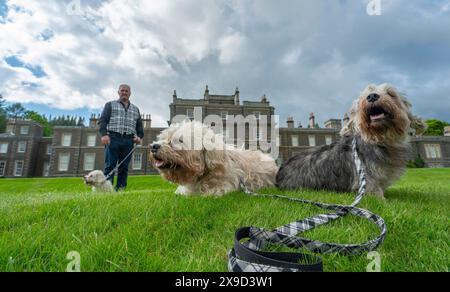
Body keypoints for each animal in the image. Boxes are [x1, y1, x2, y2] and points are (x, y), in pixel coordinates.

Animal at [276, 84, 428, 198]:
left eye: (390, 93)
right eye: (364, 96)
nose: (372, 96)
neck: (379, 138)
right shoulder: (367, 178)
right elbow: (375, 191)